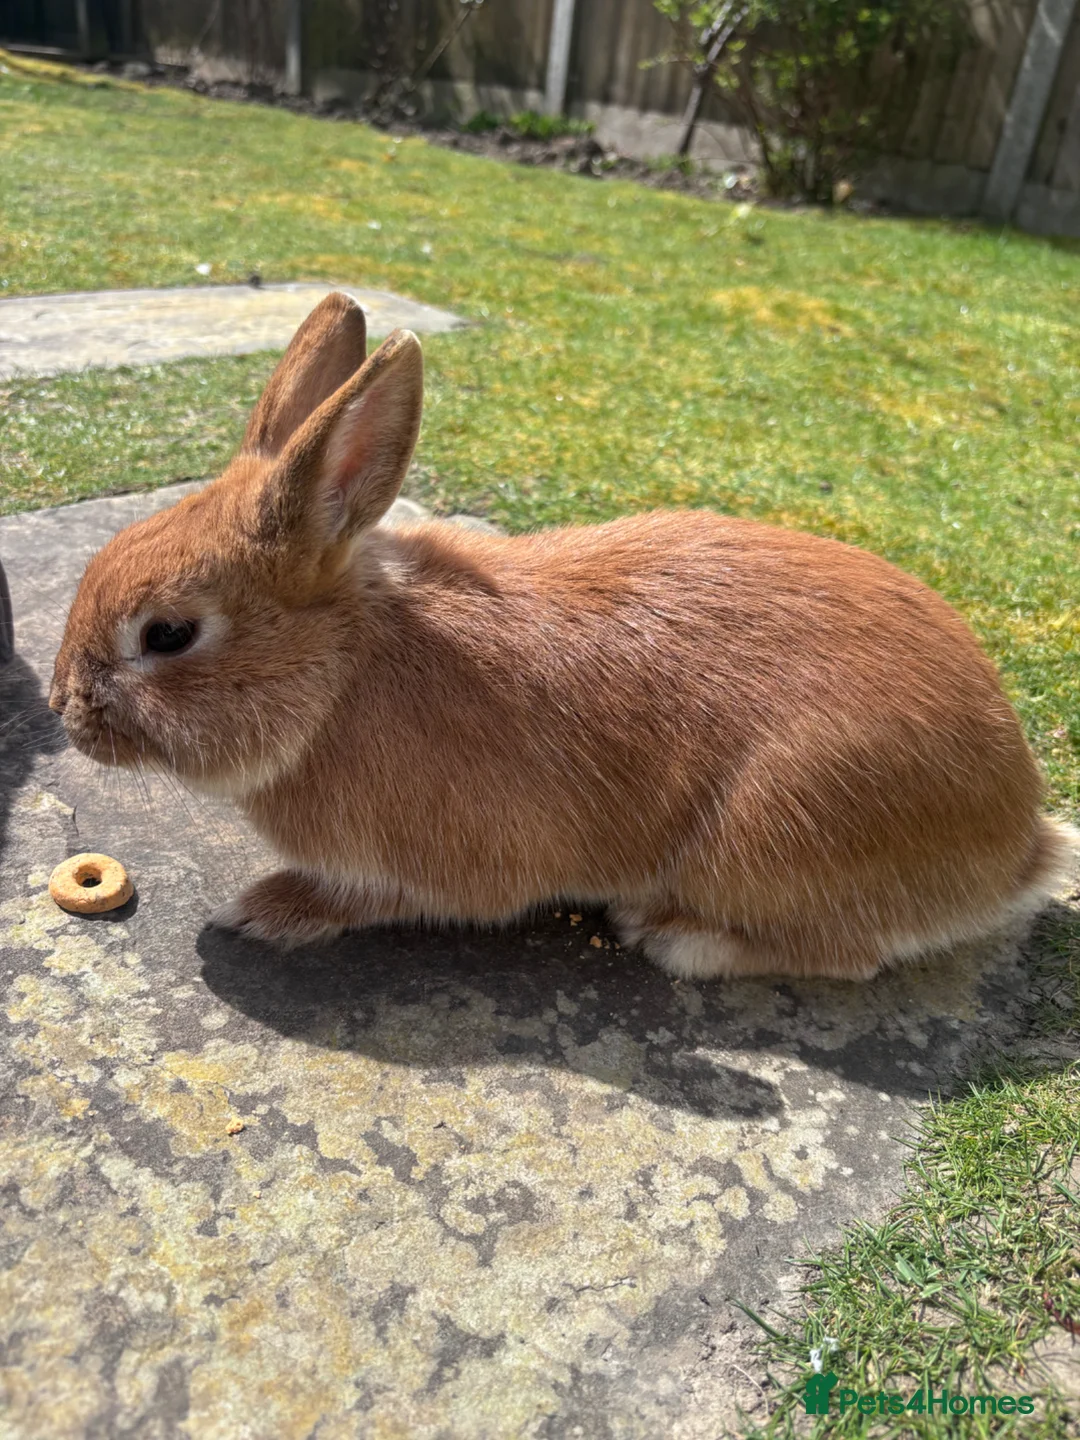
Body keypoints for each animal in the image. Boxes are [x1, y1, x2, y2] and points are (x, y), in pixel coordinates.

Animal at [50, 292, 1075, 981]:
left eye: (169, 634)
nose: (62, 709)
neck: (341, 672)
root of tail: (1019, 840)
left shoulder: (427, 864)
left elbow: (368, 896)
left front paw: (263, 911)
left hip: (780, 825)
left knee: (847, 954)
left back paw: (675, 937)